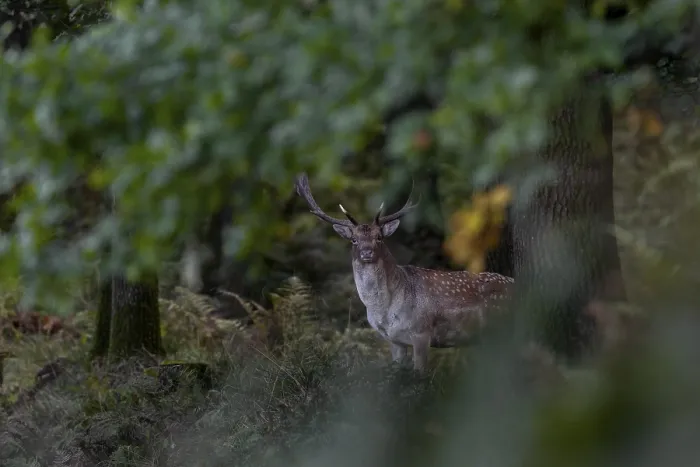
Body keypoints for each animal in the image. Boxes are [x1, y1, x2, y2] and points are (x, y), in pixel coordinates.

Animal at [295, 173, 515, 372]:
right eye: (354, 240)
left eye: (379, 237)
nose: (367, 252)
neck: (384, 310)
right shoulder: (394, 340)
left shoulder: (421, 332)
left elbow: (420, 376)